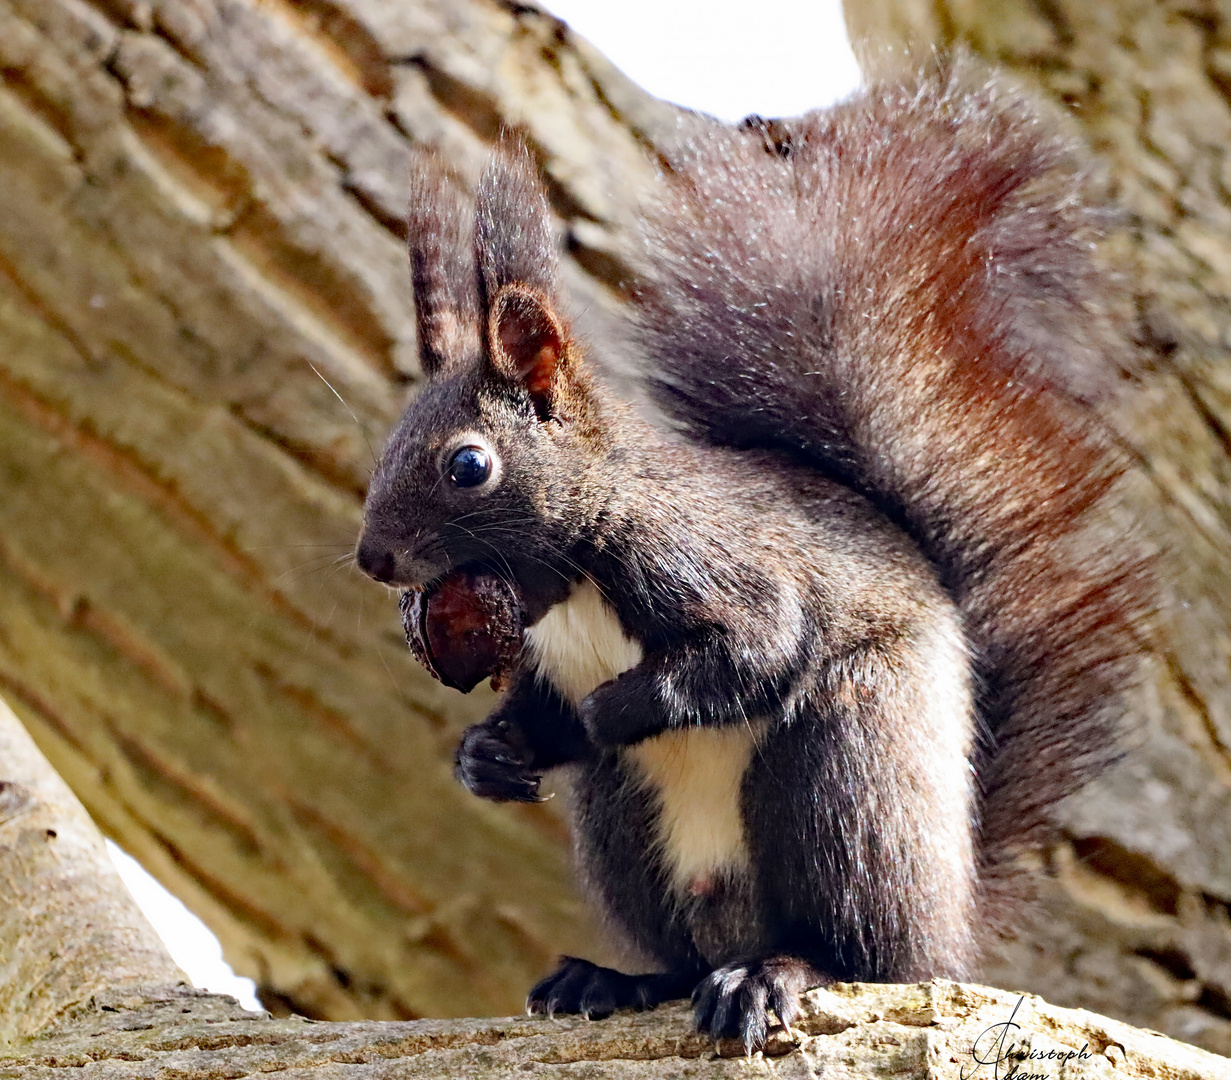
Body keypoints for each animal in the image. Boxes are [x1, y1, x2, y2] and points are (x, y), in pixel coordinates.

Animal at [354, 60, 1152, 1054]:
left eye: (467, 465)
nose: (372, 559)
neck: (571, 582)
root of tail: (950, 921)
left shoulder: (710, 561)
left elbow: (751, 652)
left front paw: (612, 707)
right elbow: (540, 713)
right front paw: (488, 754)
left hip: (846, 774)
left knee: (858, 954)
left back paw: (777, 973)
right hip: (628, 833)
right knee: (680, 956)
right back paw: (616, 980)